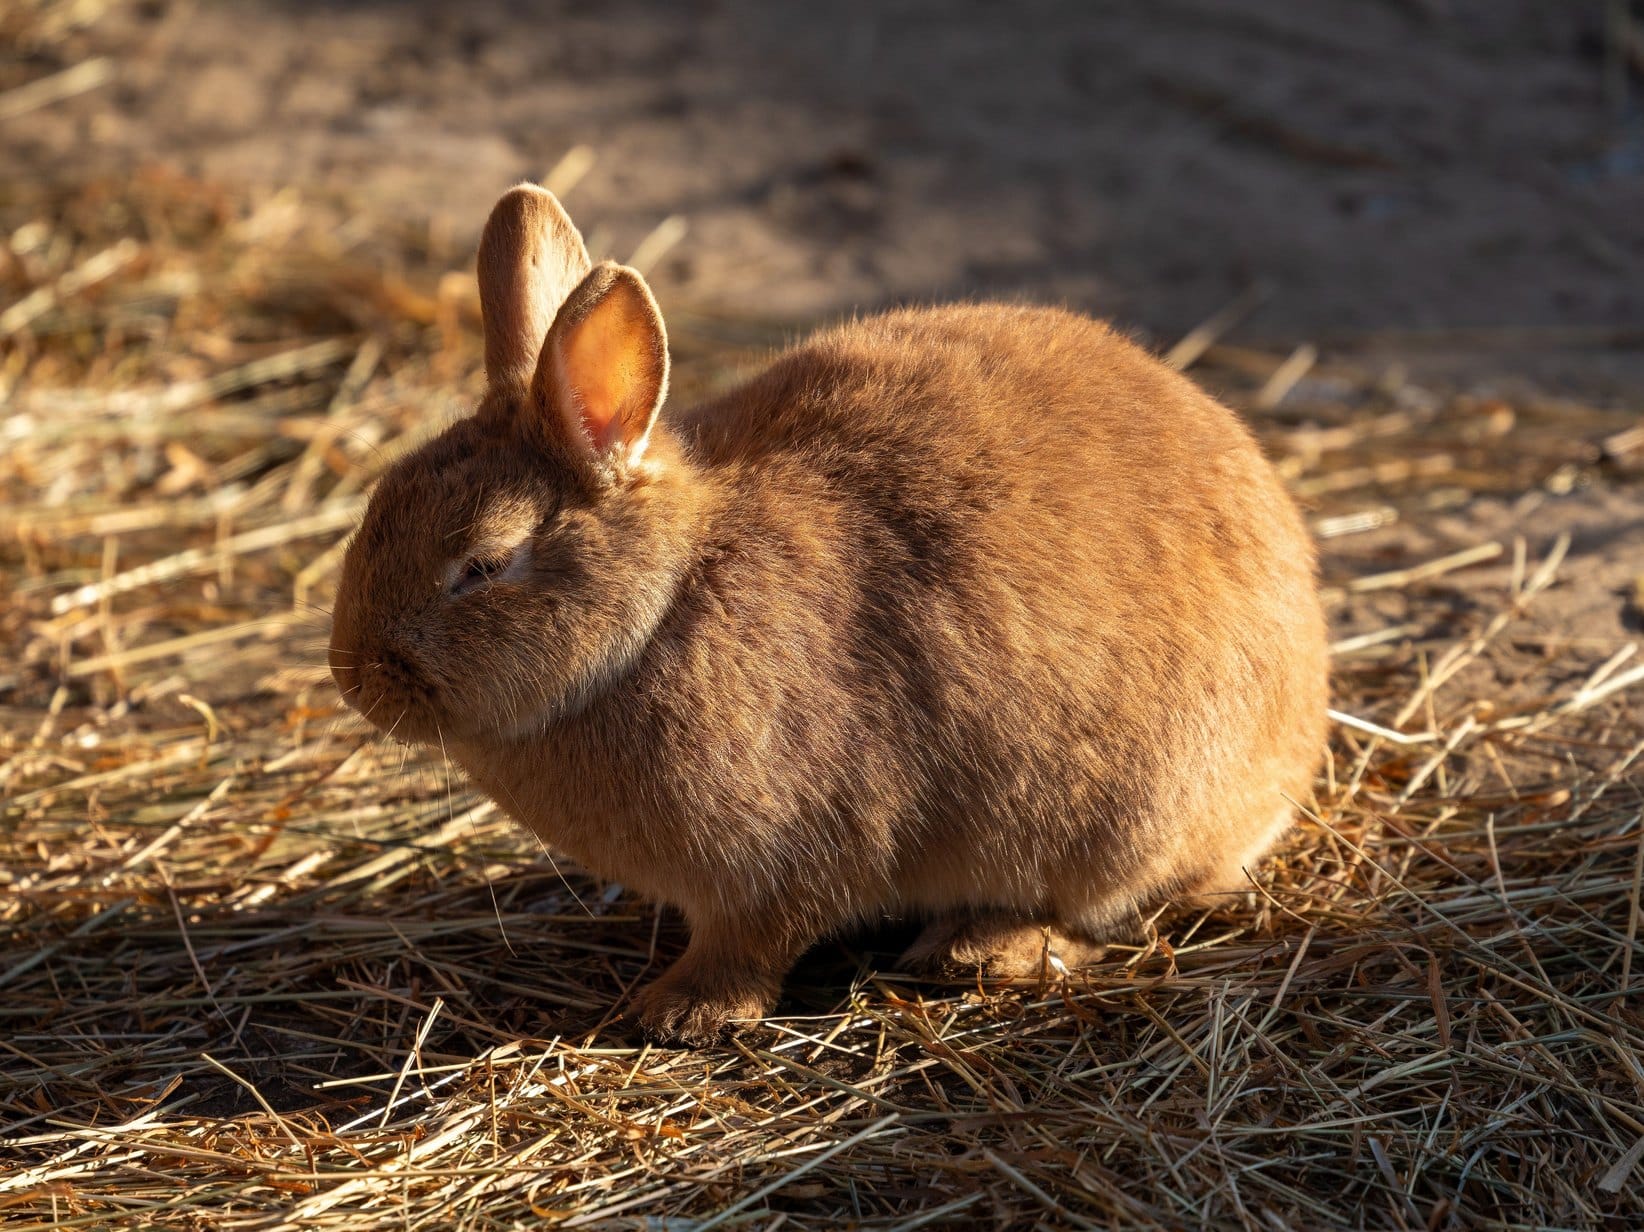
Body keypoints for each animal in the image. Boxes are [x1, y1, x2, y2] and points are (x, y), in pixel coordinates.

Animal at [329, 183, 1330, 1046]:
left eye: (483, 565)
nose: (353, 680)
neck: (662, 608)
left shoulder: (785, 860)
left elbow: (756, 941)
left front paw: (680, 1012)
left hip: (1130, 821)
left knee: (1119, 912)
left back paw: (979, 949)